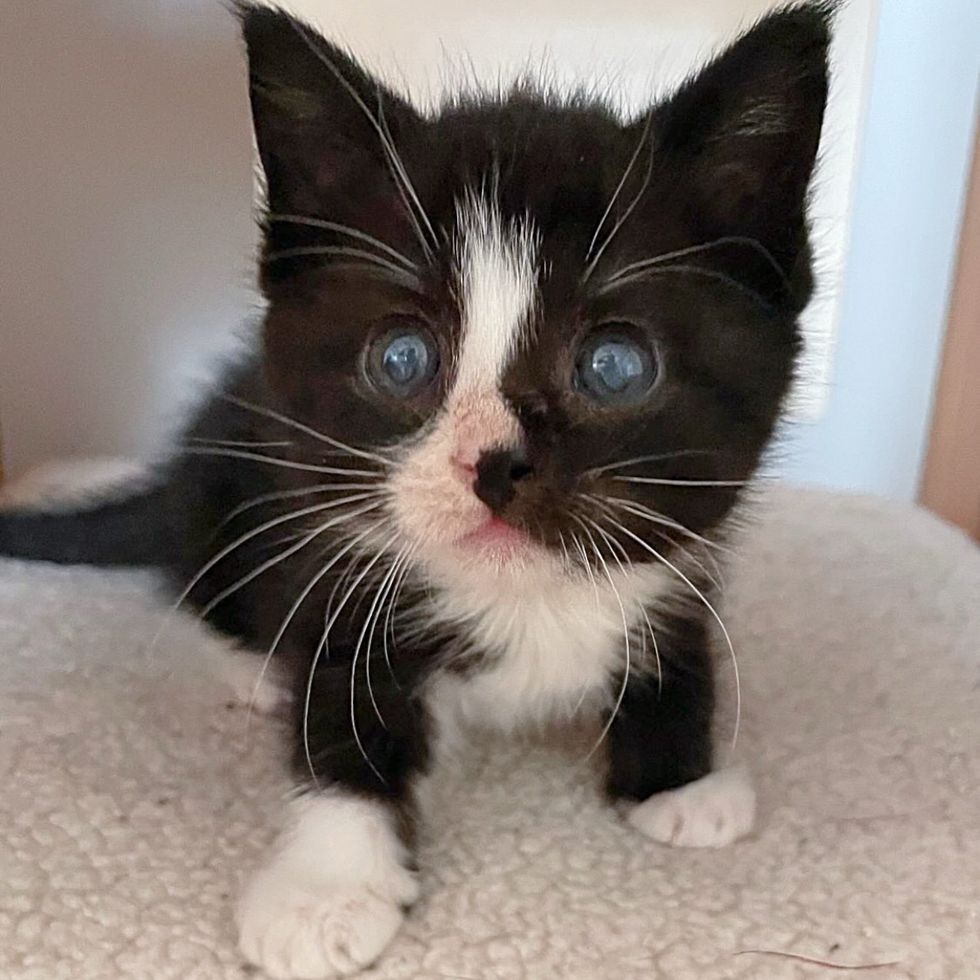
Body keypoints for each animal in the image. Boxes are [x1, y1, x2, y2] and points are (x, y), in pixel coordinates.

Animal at [0, 3, 832, 976]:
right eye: (402, 359)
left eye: (615, 366)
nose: (497, 463)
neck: (525, 607)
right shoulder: (332, 558)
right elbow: (342, 711)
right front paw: (325, 886)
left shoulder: (685, 555)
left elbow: (679, 642)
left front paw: (679, 778)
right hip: (226, 479)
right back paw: (254, 663)